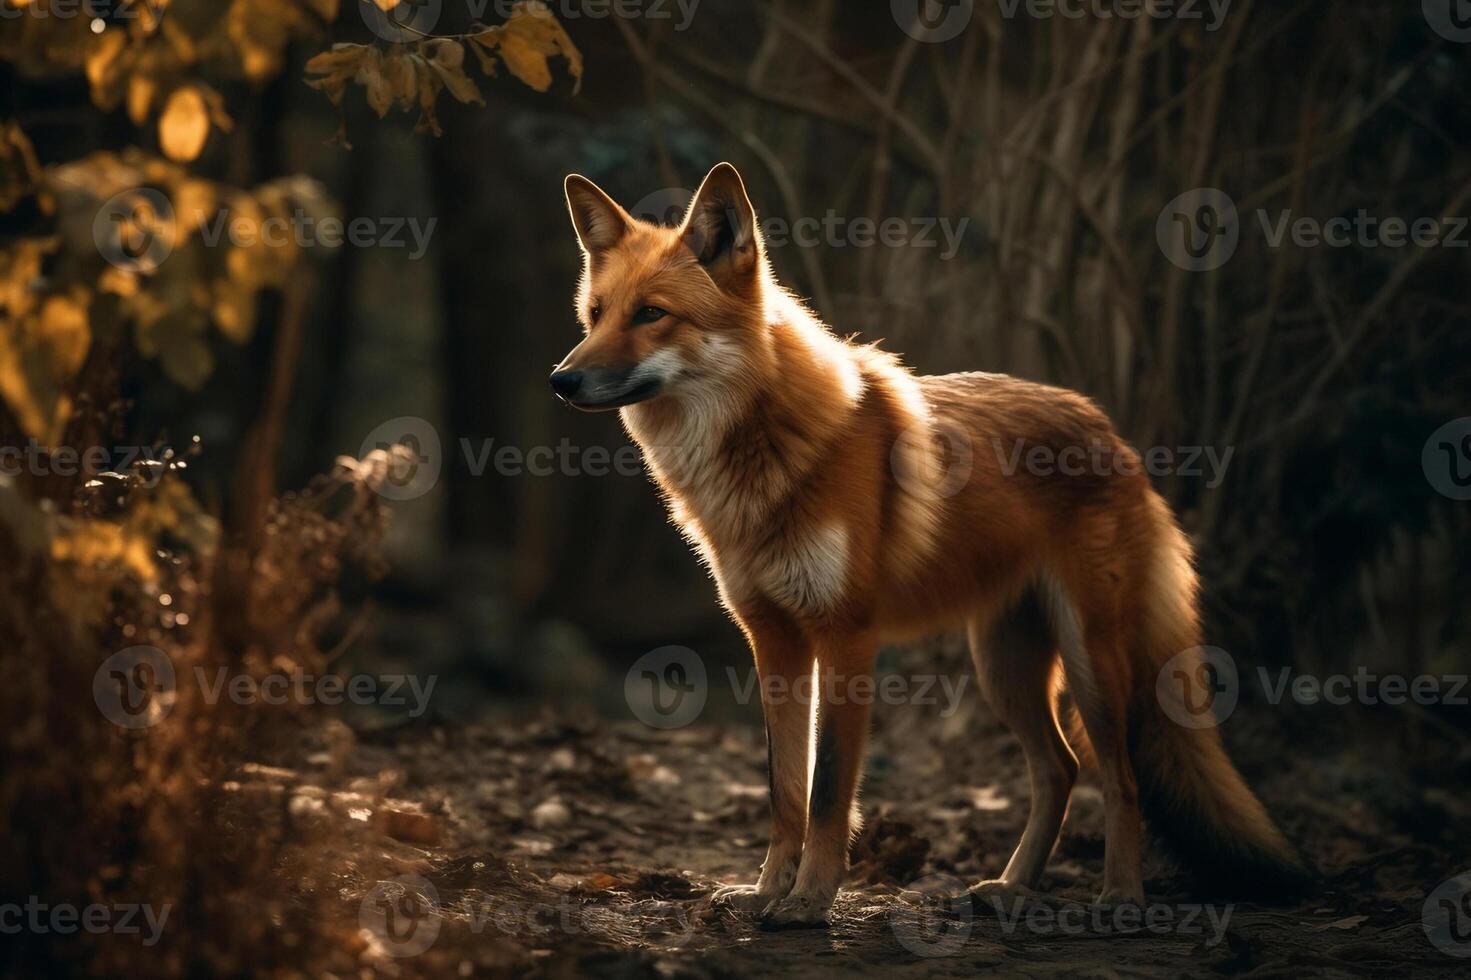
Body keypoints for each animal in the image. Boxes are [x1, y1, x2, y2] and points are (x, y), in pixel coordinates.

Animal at [547, 161, 1306, 924]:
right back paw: (1011, 886)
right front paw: (766, 891)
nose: (560, 380)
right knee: (1059, 770)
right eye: (596, 315)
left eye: (651, 314)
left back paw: (1119, 894)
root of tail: (1108, 429)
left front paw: (809, 900)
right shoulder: (774, 639)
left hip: (1090, 662)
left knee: (1119, 779)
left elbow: (827, 790)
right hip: (1004, 668)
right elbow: (783, 789)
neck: (765, 453)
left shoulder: (846, 635)